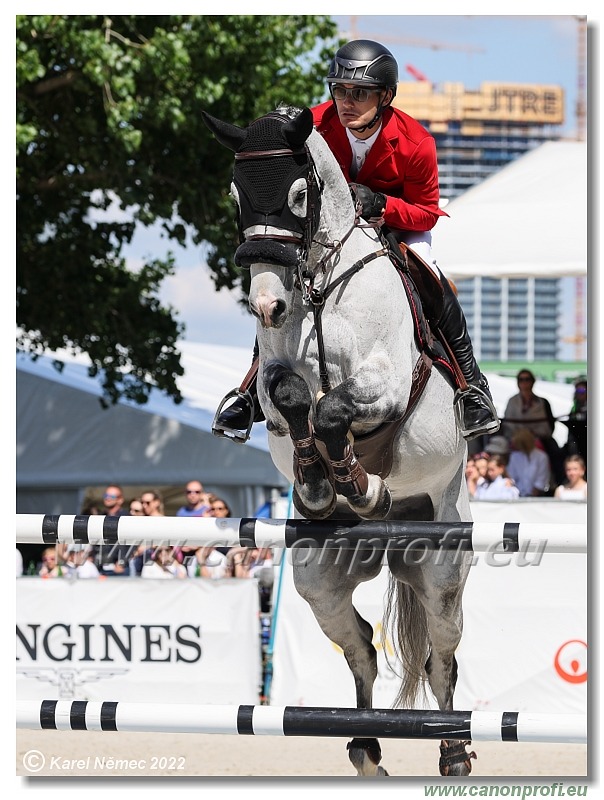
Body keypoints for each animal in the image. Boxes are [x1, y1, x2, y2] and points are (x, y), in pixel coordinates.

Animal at [203, 104, 476, 776]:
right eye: (235, 196)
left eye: (300, 195)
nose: (267, 306)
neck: (319, 284)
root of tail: (395, 544)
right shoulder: (276, 376)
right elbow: (293, 398)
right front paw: (318, 482)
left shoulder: (385, 380)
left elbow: (332, 408)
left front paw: (359, 484)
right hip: (318, 579)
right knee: (362, 650)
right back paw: (365, 747)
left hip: (442, 565)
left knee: (442, 653)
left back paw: (453, 751)